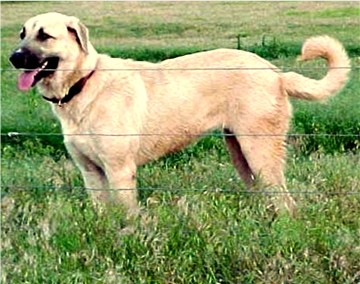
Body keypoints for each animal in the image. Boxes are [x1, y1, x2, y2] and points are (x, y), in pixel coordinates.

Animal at [10, 12, 348, 214]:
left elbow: (127, 216)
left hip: (259, 150)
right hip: (241, 154)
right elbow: (102, 214)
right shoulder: (91, 173)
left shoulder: (120, 170)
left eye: (45, 35)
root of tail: (276, 72)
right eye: (22, 33)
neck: (84, 83)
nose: (14, 57)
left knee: (286, 201)